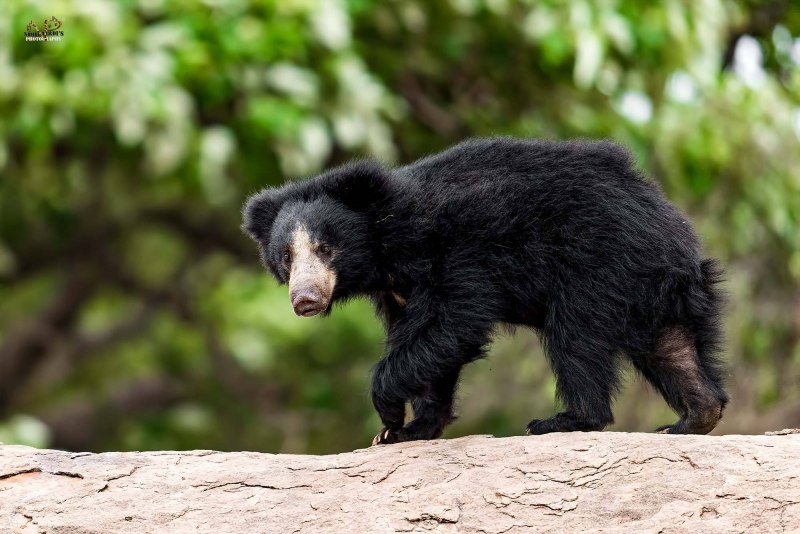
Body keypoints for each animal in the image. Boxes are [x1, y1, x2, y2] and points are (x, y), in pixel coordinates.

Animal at [242, 137, 728, 445]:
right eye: (286, 256)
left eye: (326, 248)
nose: (304, 300)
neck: (388, 247)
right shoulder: (396, 290)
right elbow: (432, 346)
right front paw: (409, 430)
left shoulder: (460, 249)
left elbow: (454, 321)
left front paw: (389, 413)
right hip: (647, 283)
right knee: (670, 344)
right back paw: (693, 417)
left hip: (597, 260)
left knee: (576, 336)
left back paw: (564, 420)